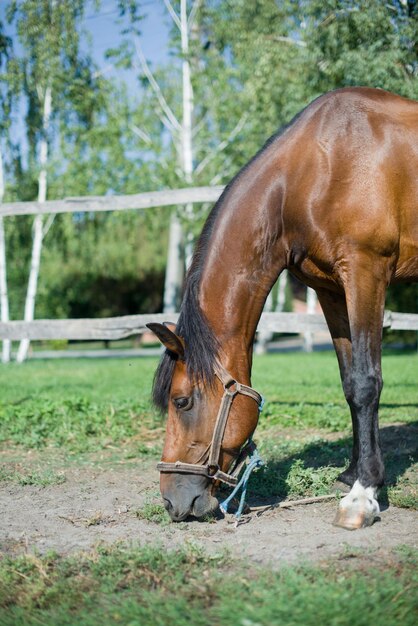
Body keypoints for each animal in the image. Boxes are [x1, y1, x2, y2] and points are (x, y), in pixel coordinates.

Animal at [147, 88, 418, 528]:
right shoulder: (330, 289)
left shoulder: (366, 271)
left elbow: (366, 383)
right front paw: (353, 473)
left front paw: (363, 494)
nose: (173, 502)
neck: (316, 170)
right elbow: (349, 383)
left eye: (181, 401)